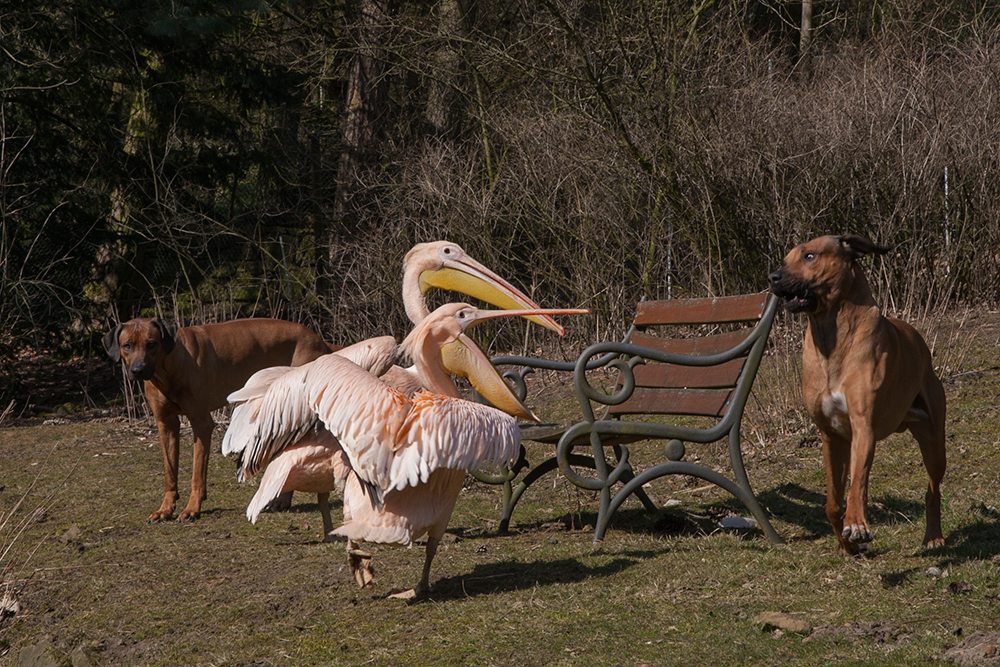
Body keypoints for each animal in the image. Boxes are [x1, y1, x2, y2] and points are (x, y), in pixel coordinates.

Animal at [104, 320, 334, 524]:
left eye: (152, 344)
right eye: (127, 345)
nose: (138, 370)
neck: (170, 365)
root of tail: (318, 339)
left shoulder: (201, 423)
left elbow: (197, 474)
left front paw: (192, 509)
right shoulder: (165, 424)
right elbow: (170, 472)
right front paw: (165, 510)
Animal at [768, 235, 948, 552]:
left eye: (809, 256)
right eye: (785, 259)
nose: (773, 278)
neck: (831, 337)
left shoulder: (863, 426)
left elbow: (857, 483)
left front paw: (856, 525)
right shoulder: (831, 436)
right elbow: (832, 503)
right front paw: (847, 544)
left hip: (934, 438)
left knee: (932, 488)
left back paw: (933, 536)